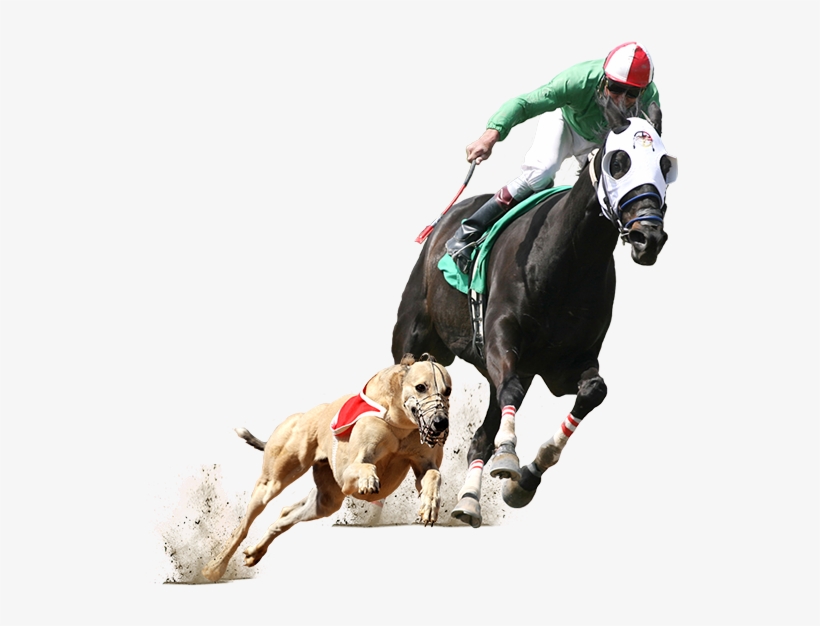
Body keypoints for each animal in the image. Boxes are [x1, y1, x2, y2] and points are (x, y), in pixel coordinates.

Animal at [391, 100, 677, 528]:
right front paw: (510, 458)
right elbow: (508, 393)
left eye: (665, 165)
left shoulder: (564, 366)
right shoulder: (500, 339)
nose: (649, 236)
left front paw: (525, 478)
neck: (566, 261)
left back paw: (469, 502)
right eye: (619, 161)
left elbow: (594, 391)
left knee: (482, 435)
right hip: (413, 335)